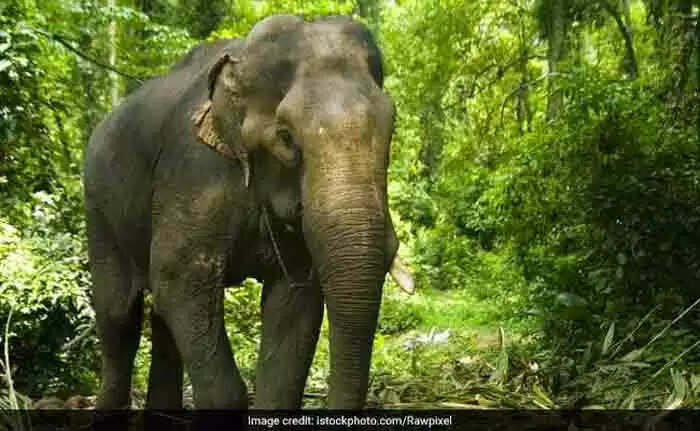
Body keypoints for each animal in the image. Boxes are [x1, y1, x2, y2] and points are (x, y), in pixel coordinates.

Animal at [83, 14, 414, 410]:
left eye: (391, 129)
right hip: (98, 207)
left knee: (158, 317)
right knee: (118, 314)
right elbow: (178, 277)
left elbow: (294, 304)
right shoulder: (194, 170)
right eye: (286, 138)